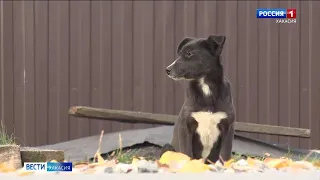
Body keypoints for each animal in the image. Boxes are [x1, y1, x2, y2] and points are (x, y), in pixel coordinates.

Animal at [162, 34, 235, 164]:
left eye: (189, 53)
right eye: (179, 53)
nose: (167, 70)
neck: (205, 86)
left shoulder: (228, 127)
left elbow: (225, 155)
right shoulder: (185, 126)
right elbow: (187, 153)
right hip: (167, 148)